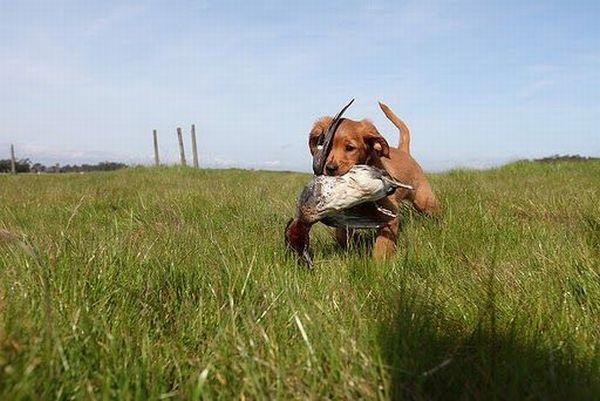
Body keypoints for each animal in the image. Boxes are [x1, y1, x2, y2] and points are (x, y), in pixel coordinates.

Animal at [310, 101, 440, 258]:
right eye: (325, 147)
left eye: (350, 148)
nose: (329, 168)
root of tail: (403, 151)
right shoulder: (346, 216)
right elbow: (341, 234)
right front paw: (354, 245)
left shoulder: (390, 216)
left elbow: (382, 245)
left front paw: (379, 263)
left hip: (423, 200)